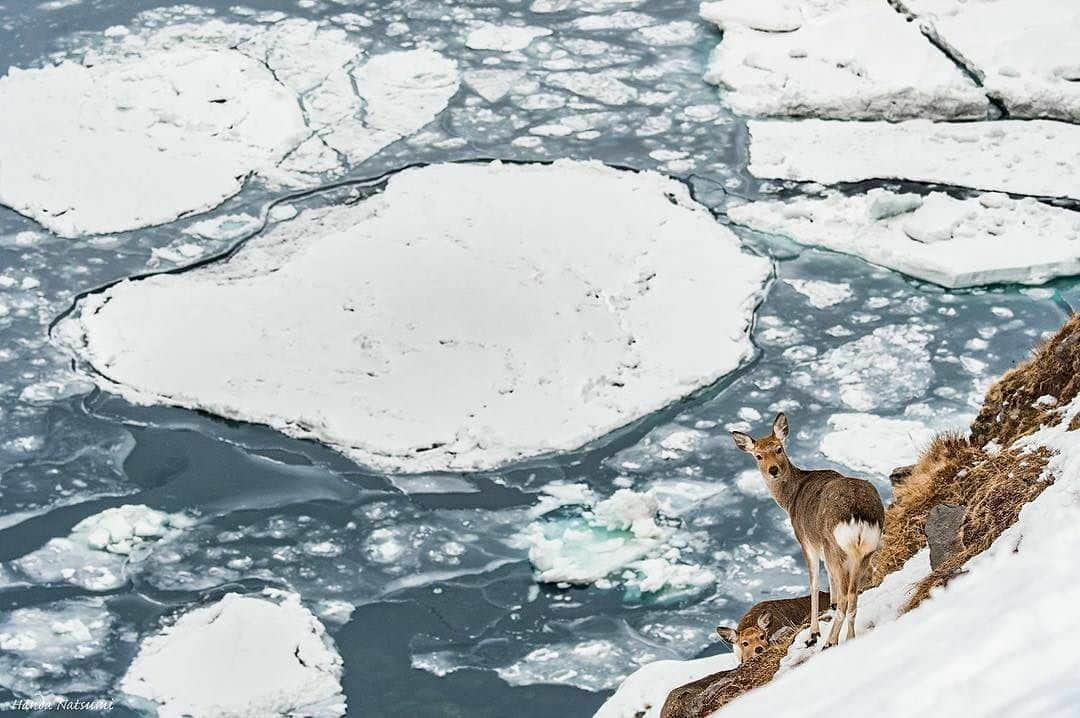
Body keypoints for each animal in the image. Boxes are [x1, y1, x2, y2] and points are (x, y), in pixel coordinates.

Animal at [734, 412, 885, 647]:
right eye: (758, 456)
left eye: (779, 448)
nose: (773, 470)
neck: (790, 500)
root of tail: (859, 517)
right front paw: (830, 606)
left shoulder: (806, 541)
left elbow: (813, 583)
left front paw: (813, 633)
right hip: (865, 549)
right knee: (854, 595)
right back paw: (849, 638)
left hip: (836, 547)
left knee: (846, 596)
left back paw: (829, 641)